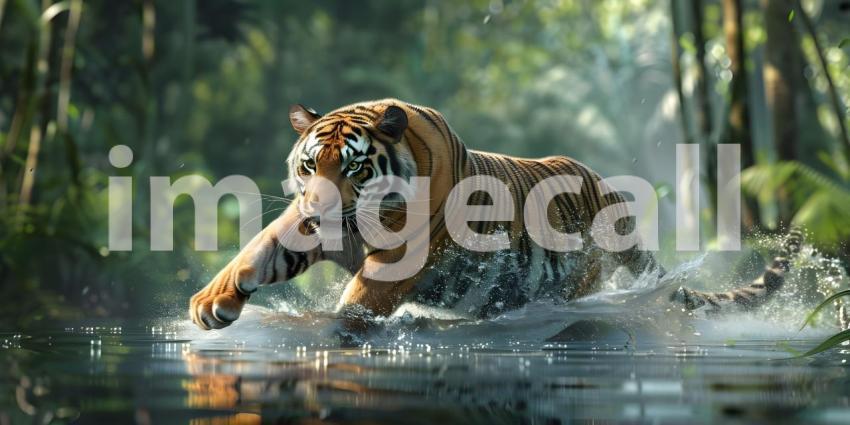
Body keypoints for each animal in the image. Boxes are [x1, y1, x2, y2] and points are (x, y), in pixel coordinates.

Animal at [189, 99, 803, 331]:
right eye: (310, 165)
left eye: (355, 168)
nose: (319, 207)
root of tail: (611, 195)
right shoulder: (304, 226)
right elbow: (255, 253)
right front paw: (209, 305)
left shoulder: (399, 256)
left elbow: (357, 301)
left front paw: (332, 331)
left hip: (577, 276)